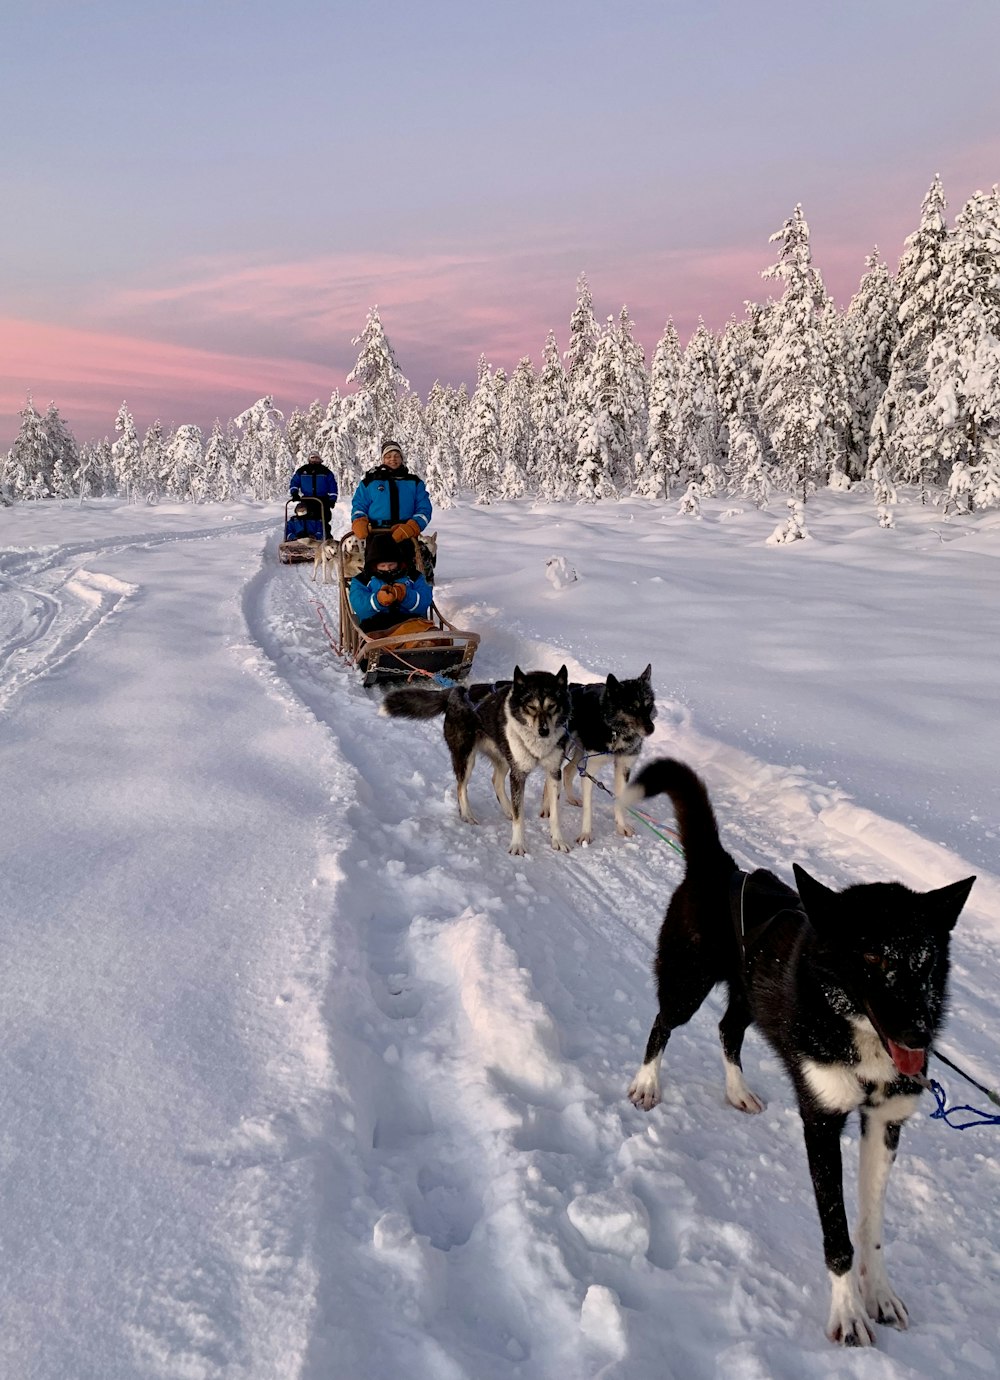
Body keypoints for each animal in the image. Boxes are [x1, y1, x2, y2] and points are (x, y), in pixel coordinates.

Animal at [383, 665, 568, 850]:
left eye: (552, 706)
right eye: (531, 706)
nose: (544, 731)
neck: (537, 744)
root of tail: (458, 692)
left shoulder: (553, 772)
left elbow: (555, 813)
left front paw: (558, 840)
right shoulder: (518, 774)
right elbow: (519, 816)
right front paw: (517, 845)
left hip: (502, 757)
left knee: (495, 781)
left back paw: (507, 809)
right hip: (466, 758)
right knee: (461, 787)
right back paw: (467, 815)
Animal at [562, 665, 656, 844]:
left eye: (648, 706)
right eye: (631, 708)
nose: (651, 729)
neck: (616, 732)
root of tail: (573, 686)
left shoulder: (623, 767)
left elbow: (620, 799)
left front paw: (622, 825)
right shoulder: (591, 769)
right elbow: (588, 807)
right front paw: (586, 834)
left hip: (580, 753)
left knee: (567, 770)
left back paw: (570, 798)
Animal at [623, 756, 976, 1346]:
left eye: (925, 959)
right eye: (874, 957)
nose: (920, 1037)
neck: (853, 1031)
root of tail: (721, 869)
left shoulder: (885, 1123)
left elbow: (871, 1224)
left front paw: (879, 1294)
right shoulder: (822, 1121)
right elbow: (838, 1231)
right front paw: (849, 1312)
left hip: (750, 999)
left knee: (727, 1030)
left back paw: (738, 1091)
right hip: (687, 983)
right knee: (661, 1025)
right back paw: (647, 1082)